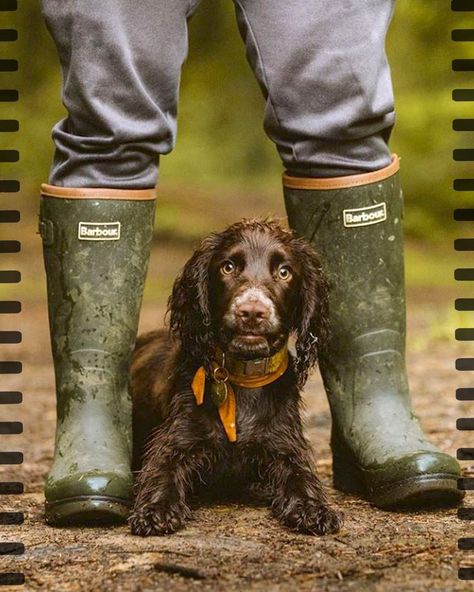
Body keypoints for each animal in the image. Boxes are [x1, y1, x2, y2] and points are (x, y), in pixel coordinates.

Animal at [130, 217, 342, 536]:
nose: (252, 312)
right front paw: (156, 509)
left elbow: (301, 476)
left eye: (284, 272)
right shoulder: (176, 439)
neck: (244, 378)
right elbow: (161, 470)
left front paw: (313, 508)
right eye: (228, 267)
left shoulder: (284, 443)